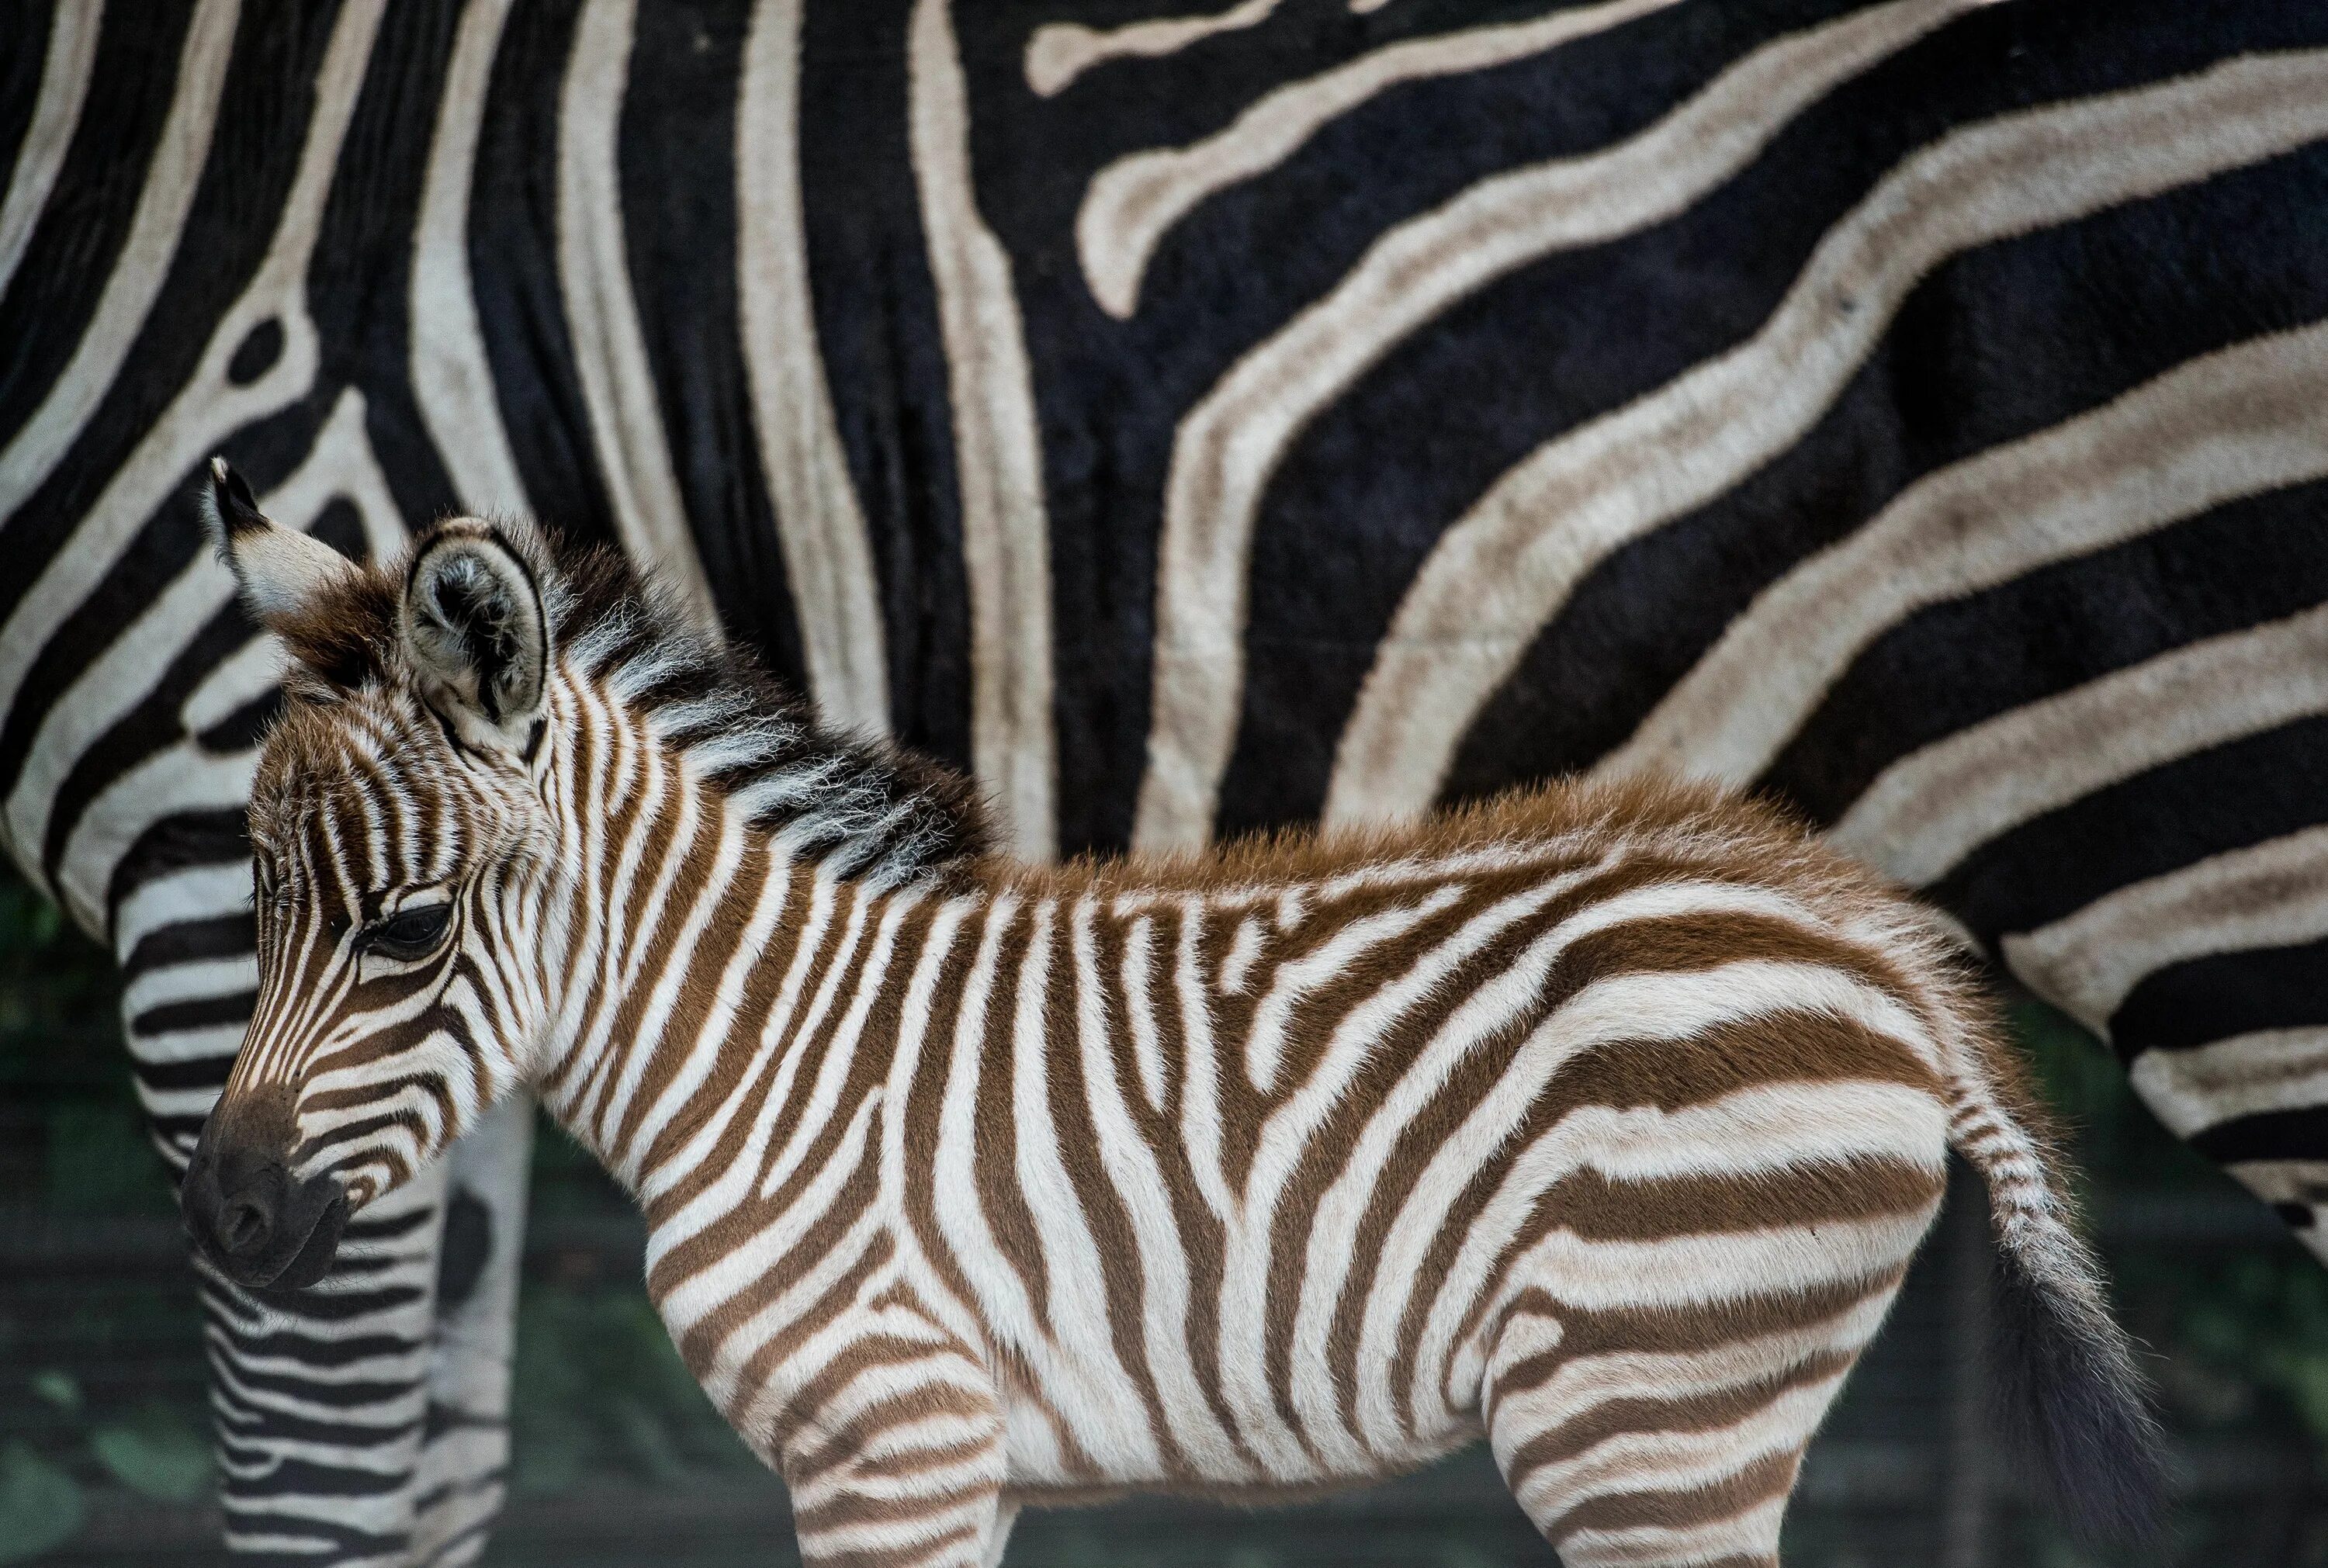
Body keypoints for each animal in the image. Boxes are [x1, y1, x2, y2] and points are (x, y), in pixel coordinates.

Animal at [186, 467, 2160, 1563]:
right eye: (264, 901)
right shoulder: (960, 1456)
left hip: (1648, 1409)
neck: (763, 1055)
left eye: (407, 929)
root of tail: (1867, 937)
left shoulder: (888, 1437)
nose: (229, 1216)